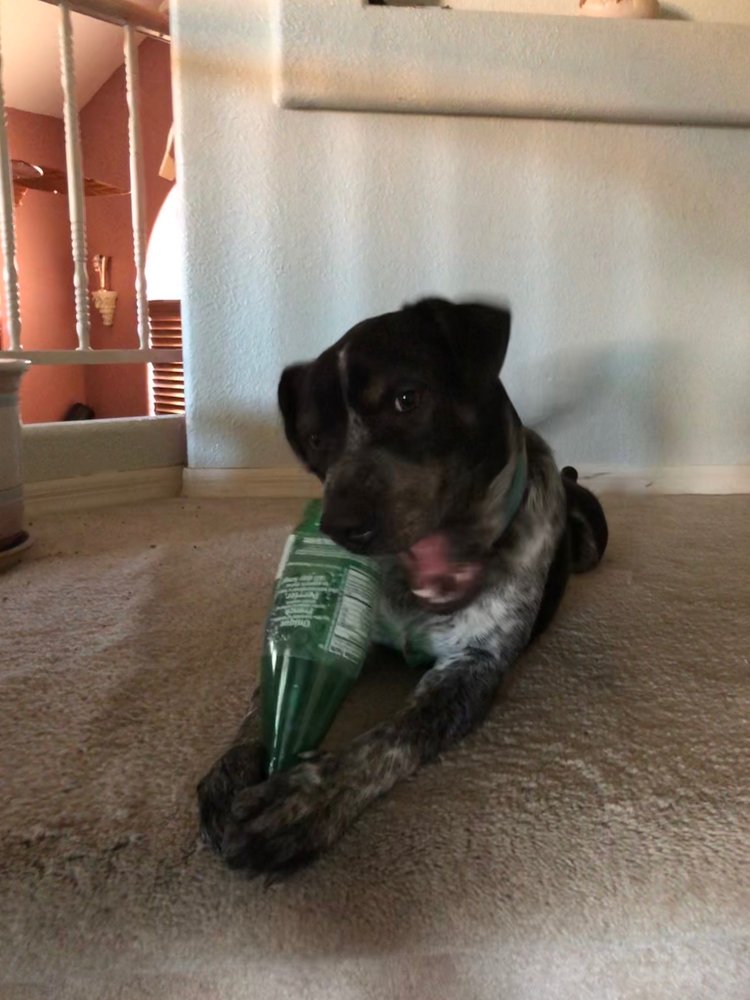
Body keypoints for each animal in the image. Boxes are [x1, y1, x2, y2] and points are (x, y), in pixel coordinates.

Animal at [197, 297, 608, 876]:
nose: (339, 525)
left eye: (406, 399)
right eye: (315, 439)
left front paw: (302, 802)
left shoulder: (472, 666)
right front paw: (235, 764)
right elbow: (265, 695)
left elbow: (391, 738)